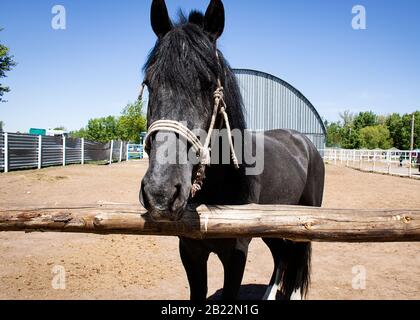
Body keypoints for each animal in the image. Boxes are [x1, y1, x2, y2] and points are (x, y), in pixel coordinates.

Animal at [140, 0, 324, 300]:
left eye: (208, 83)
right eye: (149, 83)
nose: (160, 193)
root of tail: (305, 143)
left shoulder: (237, 252)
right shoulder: (190, 251)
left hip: (305, 219)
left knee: (297, 256)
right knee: (281, 257)